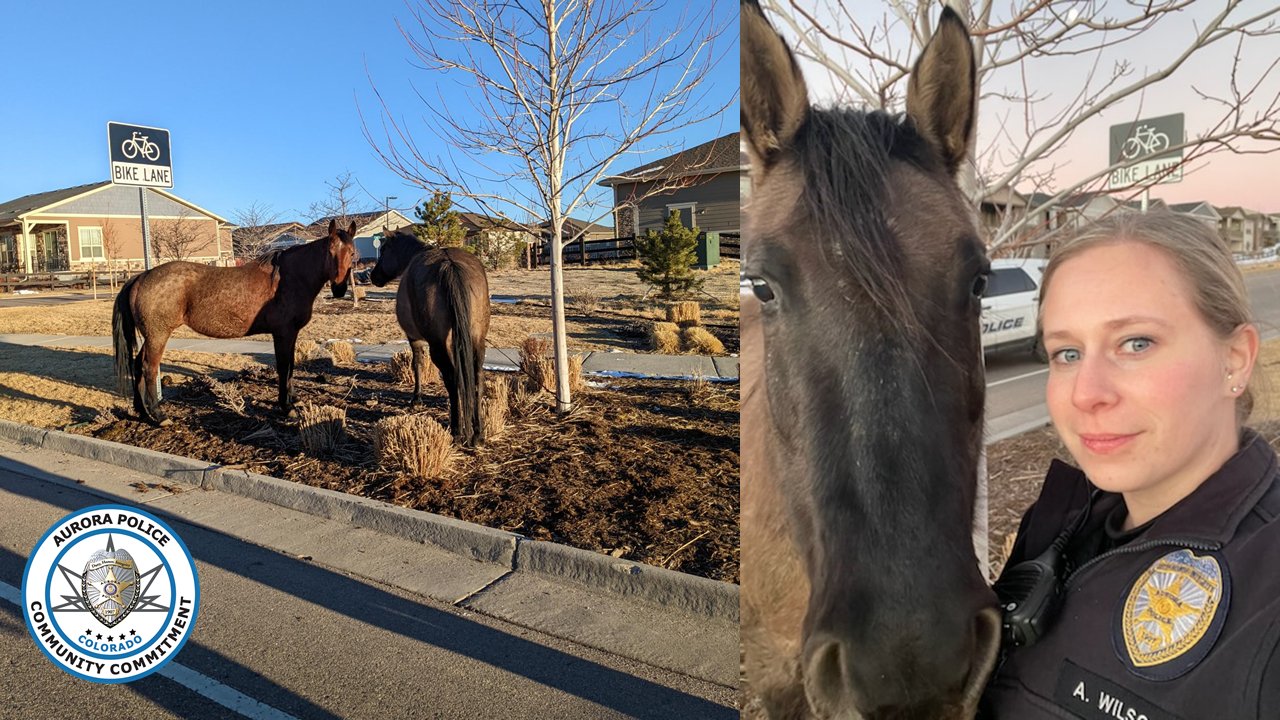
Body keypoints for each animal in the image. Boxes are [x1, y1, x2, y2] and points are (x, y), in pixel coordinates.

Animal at [113, 219, 358, 420]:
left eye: (352, 253)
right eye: (330, 251)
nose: (339, 288)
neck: (290, 277)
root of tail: (141, 277)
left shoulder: (292, 334)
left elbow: (290, 366)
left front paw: (292, 399)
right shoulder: (283, 333)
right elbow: (283, 367)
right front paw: (285, 407)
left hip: (151, 336)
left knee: (138, 365)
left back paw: (141, 411)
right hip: (158, 335)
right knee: (149, 367)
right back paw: (157, 415)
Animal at [373, 228, 491, 443]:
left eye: (384, 250)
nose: (373, 276)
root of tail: (449, 265)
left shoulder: (414, 338)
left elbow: (417, 364)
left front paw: (416, 398)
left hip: (438, 345)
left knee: (452, 378)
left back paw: (457, 429)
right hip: (477, 341)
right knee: (477, 377)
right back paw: (478, 432)